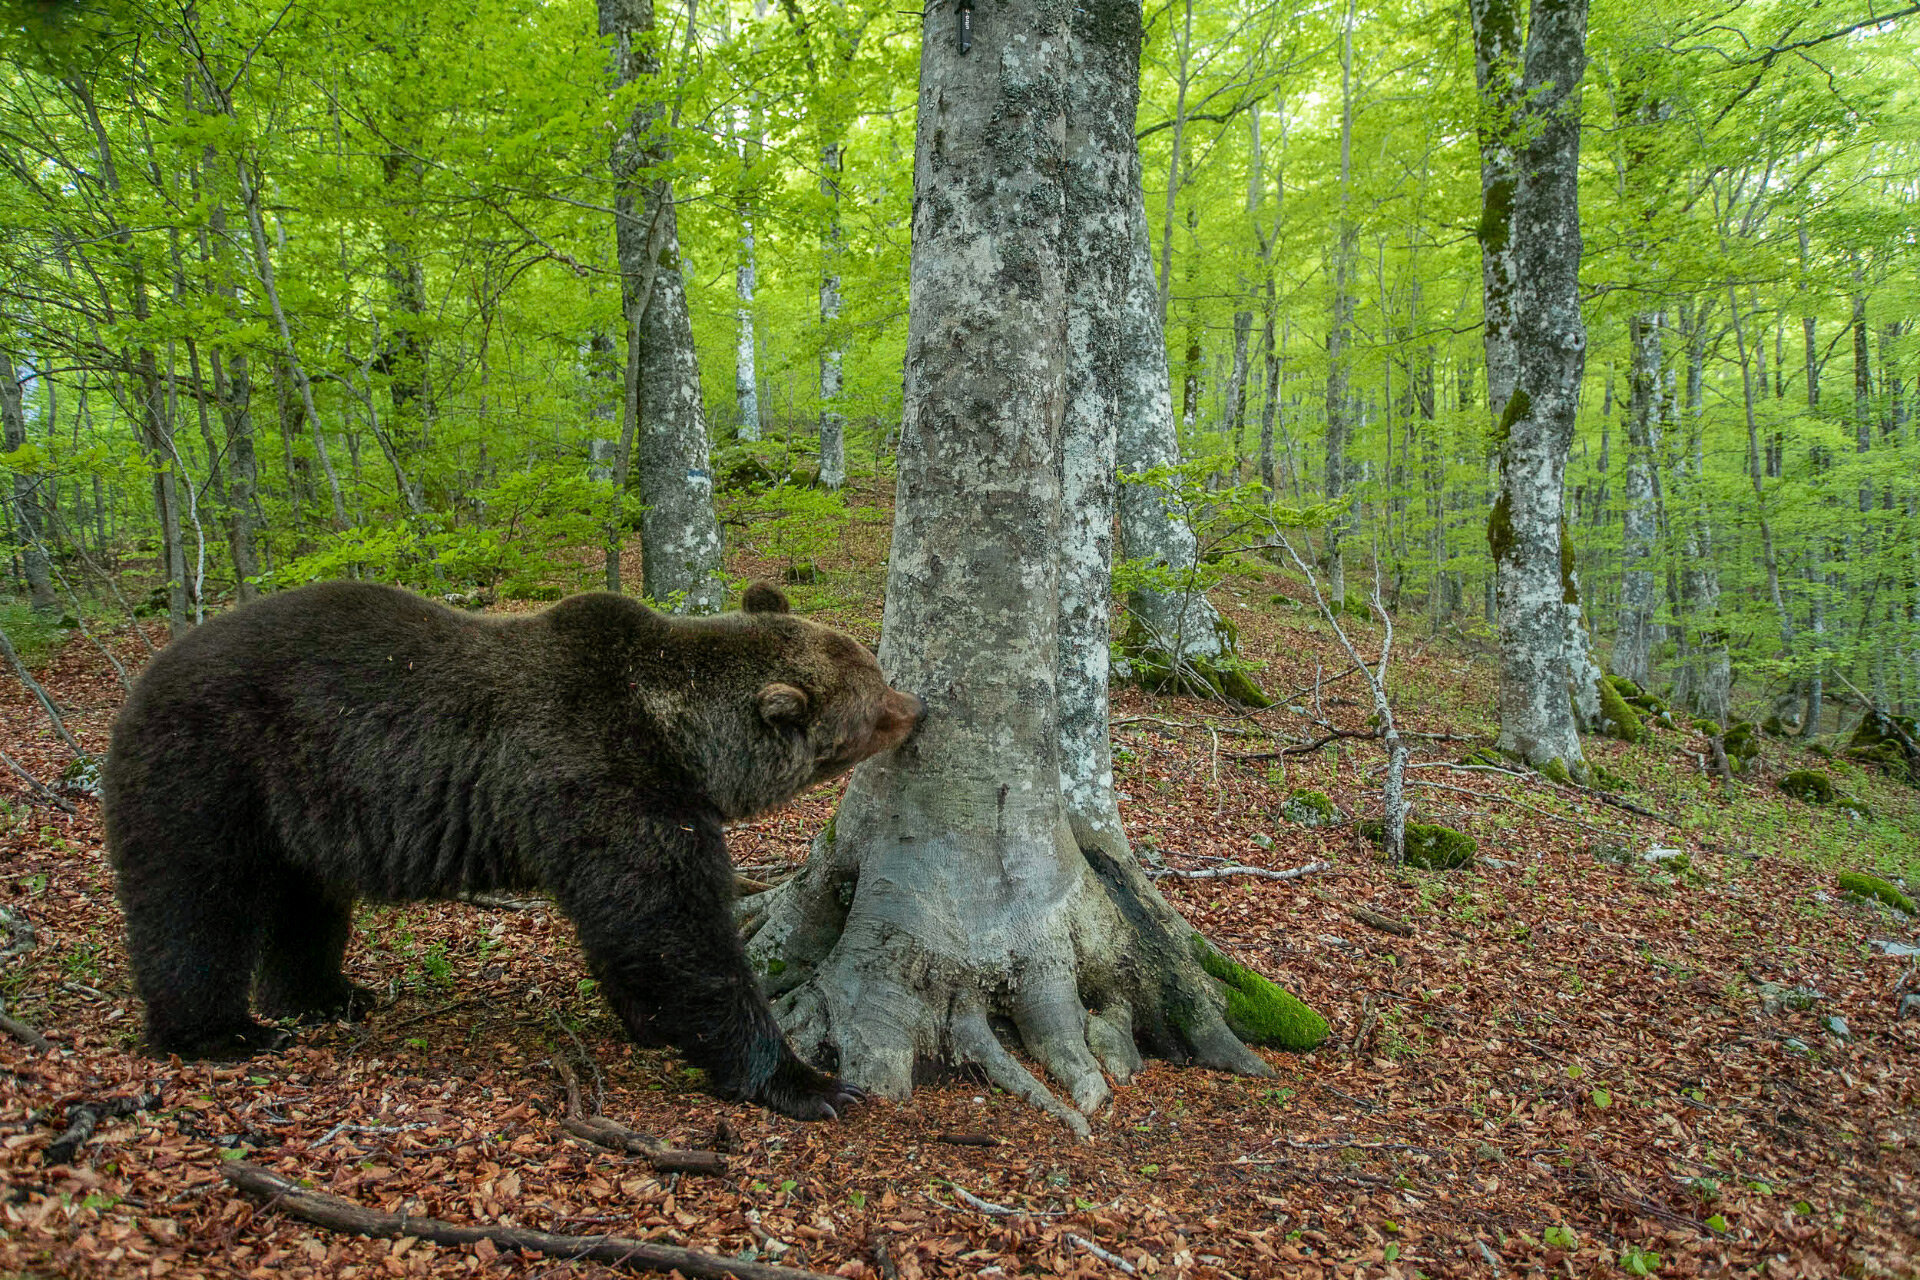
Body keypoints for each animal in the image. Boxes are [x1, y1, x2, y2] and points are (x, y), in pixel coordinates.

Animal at [101, 580, 922, 1121]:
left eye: (875, 669)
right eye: (875, 698)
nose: (917, 706)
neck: (680, 737)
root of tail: (144, 677)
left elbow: (635, 937)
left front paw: (651, 1024)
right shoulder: (608, 781)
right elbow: (672, 933)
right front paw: (811, 1083)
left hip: (299, 810)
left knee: (309, 905)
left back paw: (326, 994)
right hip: (212, 770)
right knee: (194, 905)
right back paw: (218, 1031)